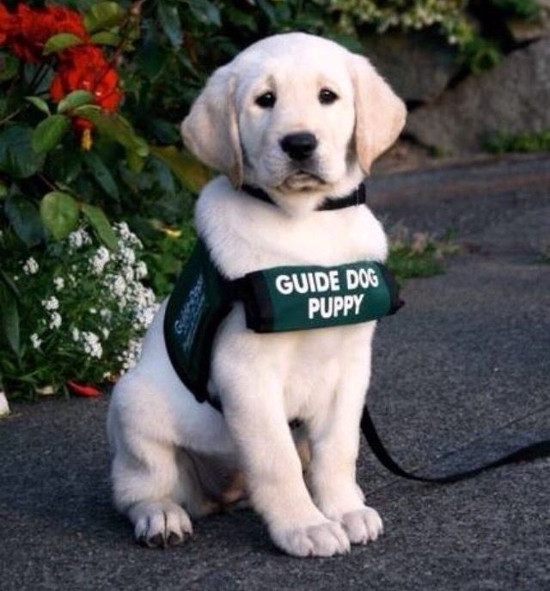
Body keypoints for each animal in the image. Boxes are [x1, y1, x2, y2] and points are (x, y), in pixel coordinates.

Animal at [110, 32, 408, 560]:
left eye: (328, 96)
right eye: (264, 100)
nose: (300, 144)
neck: (307, 224)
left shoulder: (353, 365)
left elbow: (338, 449)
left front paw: (342, 509)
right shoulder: (245, 374)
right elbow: (275, 459)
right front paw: (304, 527)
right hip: (132, 405)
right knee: (138, 488)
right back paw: (161, 516)